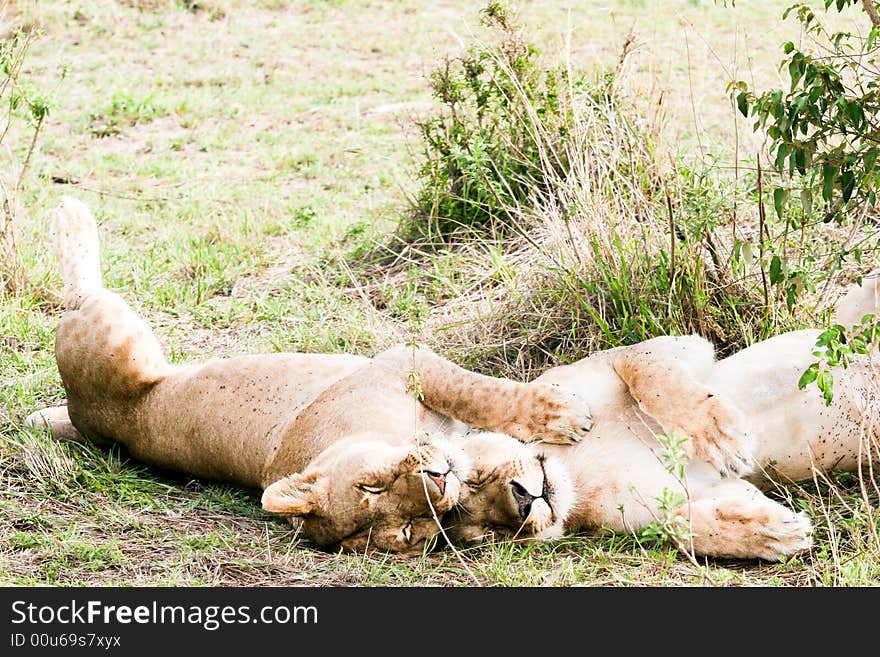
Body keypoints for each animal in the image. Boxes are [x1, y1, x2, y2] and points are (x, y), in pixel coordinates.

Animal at [446, 282, 880, 560]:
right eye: (490, 532)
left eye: (474, 477)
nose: (522, 504)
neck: (576, 470)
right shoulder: (672, 501)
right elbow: (683, 527)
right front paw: (773, 532)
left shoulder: (658, 349)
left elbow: (649, 373)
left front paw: (721, 435)